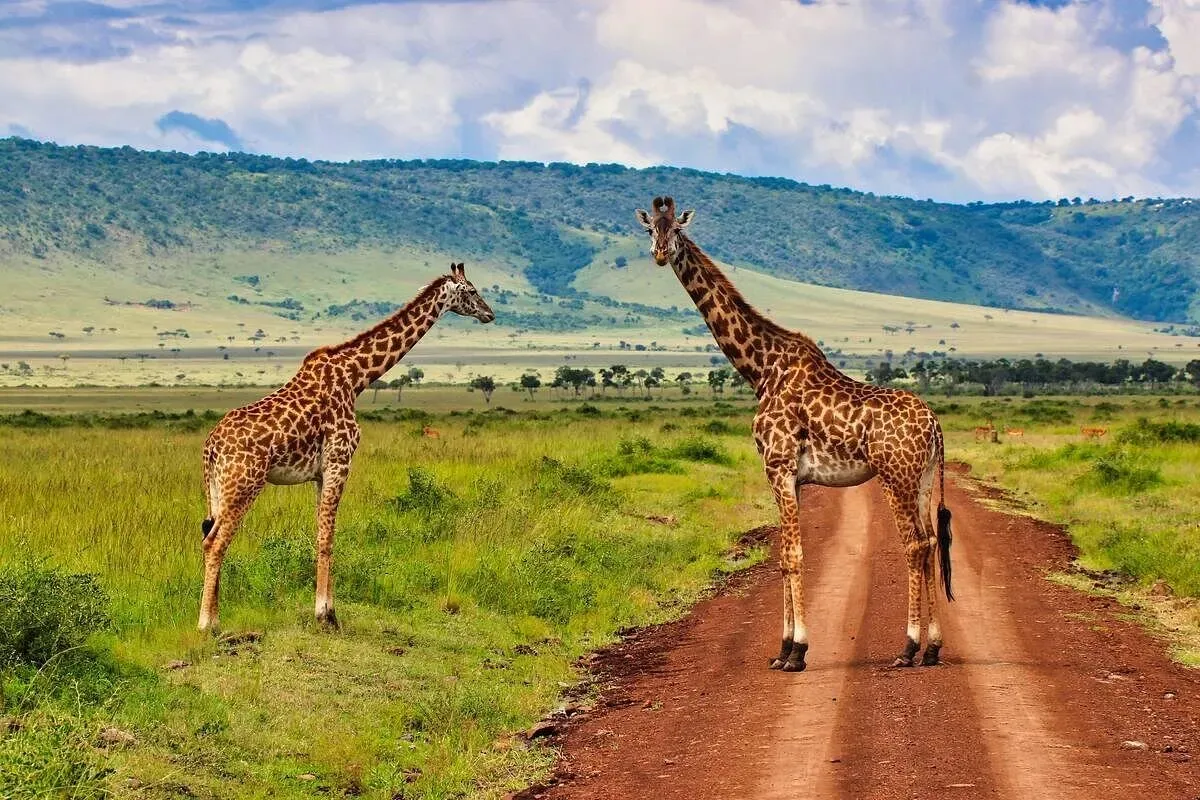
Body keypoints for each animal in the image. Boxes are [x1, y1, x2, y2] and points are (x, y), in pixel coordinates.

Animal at [197, 263, 494, 632]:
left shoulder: (320, 472)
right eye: (472, 291)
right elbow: (328, 536)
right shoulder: (340, 461)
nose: (490, 314)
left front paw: (325, 609)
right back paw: (207, 625)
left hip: (218, 487)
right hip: (244, 484)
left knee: (209, 537)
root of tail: (211, 446)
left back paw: (215, 617)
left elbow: (321, 533)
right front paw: (327, 615)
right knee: (215, 542)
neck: (356, 377)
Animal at [636, 197, 954, 670]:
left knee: (914, 545)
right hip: (924, 476)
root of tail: (934, 425)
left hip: (895, 476)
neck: (760, 368)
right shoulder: (794, 477)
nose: (659, 254)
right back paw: (932, 648)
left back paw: (909, 646)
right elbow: (785, 556)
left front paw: (798, 652)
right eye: (648, 229)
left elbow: (793, 554)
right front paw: (783, 649)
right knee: (931, 542)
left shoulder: (778, 466)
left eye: (675, 229)